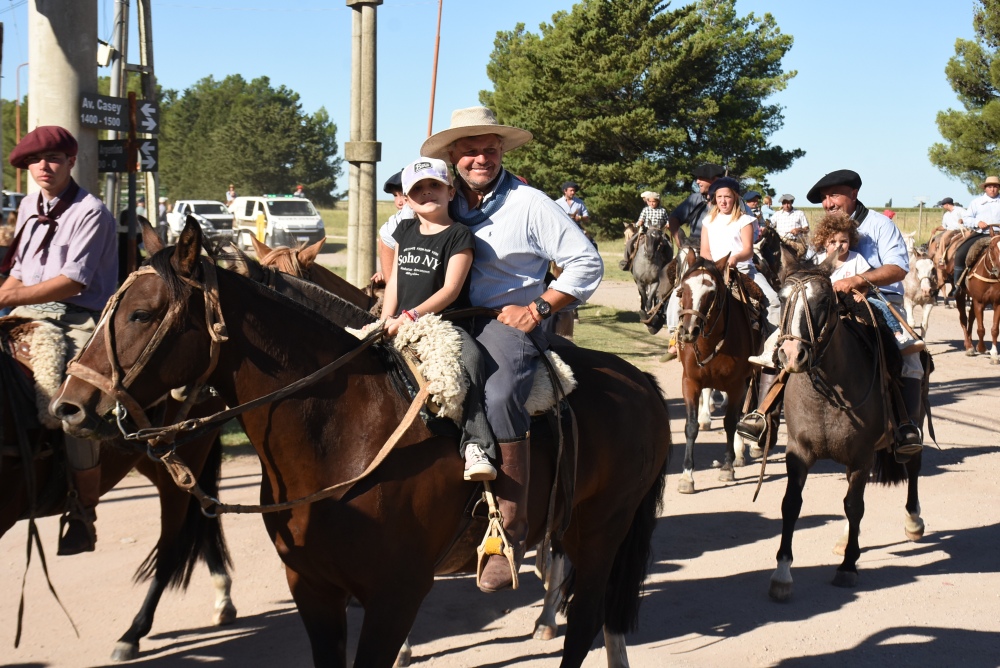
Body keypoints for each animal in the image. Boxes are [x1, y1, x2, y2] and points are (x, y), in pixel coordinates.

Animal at [50, 222, 668, 664]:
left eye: (141, 313)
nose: (68, 406)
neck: (342, 432)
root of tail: (643, 383)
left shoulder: (395, 595)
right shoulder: (313, 589)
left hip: (602, 530)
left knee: (585, 621)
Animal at [768, 253, 924, 596]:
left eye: (825, 300)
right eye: (782, 298)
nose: (792, 354)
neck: (827, 393)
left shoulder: (861, 457)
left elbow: (854, 506)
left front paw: (848, 566)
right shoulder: (798, 453)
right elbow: (791, 505)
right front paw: (782, 573)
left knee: (913, 467)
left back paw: (913, 521)